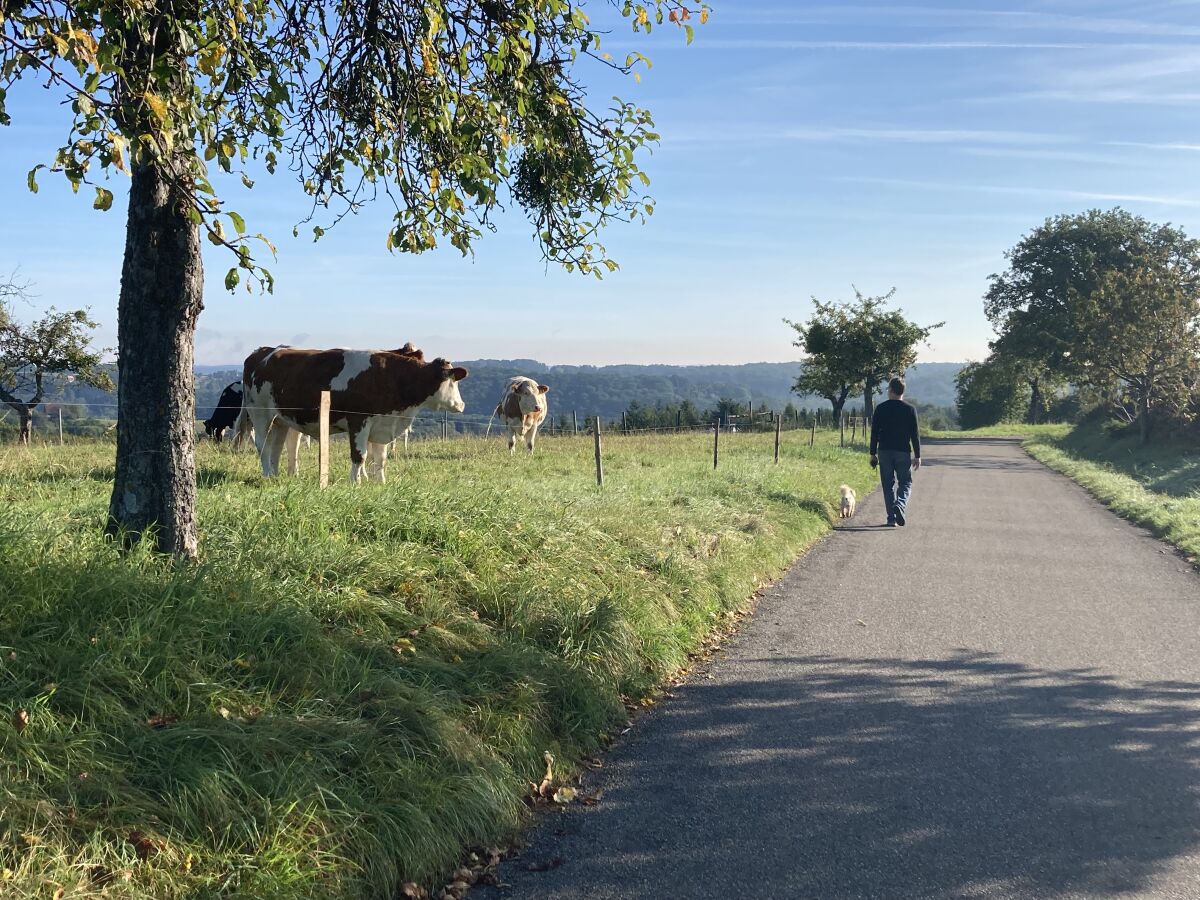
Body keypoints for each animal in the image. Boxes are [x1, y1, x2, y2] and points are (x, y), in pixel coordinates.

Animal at [241, 345, 465, 487]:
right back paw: (267, 474)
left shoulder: (383, 422)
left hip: (280, 419)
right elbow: (360, 456)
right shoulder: (359, 420)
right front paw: (355, 483)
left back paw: (275, 475)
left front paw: (381, 483)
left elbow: (380, 458)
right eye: (452, 381)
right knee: (262, 444)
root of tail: (263, 351)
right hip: (259, 413)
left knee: (276, 447)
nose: (461, 405)